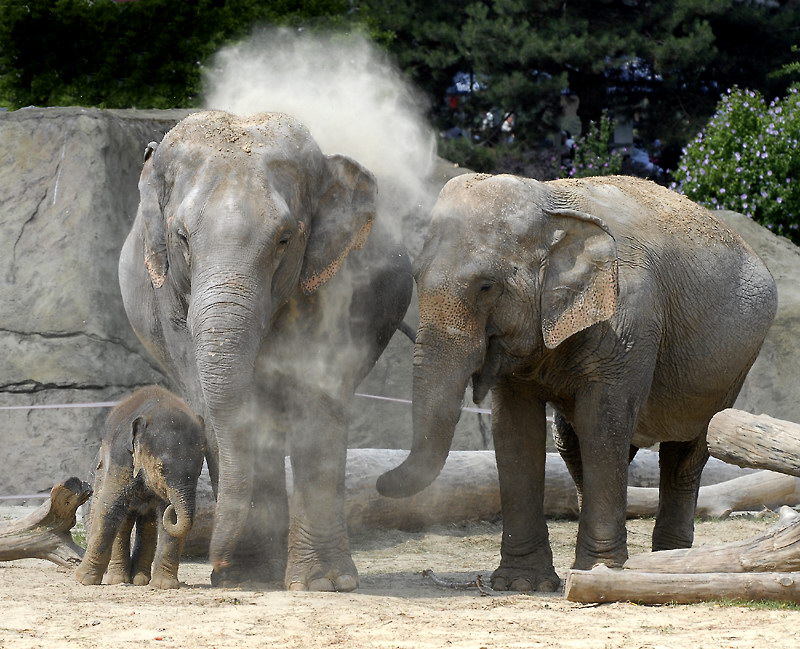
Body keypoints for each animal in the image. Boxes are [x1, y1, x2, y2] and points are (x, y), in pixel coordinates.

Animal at [75, 384, 206, 588]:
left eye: (199, 469)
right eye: (161, 469)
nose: (172, 505)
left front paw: (164, 586)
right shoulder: (121, 456)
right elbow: (109, 507)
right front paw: (84, 580)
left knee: (147, 523)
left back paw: (139, 580)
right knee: (121, 515)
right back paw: (118, 580)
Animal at [119, 112, 412, 592]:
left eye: (284, 239)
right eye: (181, 237)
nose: (214, 561)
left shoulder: (336, 283)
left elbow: (318, 394)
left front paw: (322, 584)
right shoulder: (170, 303)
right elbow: (217, 407)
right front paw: (246, 578)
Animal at [376, 172, 776, 592]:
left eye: (486, 286)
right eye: (415, 277)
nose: (379, 482)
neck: (551, 201)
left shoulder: (628, 321)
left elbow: (602, 423)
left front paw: (597, 573)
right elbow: (515, 429)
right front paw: (523, 584)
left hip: (732, 366)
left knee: (686, 451)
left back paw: (668, 563)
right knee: (572, 443)